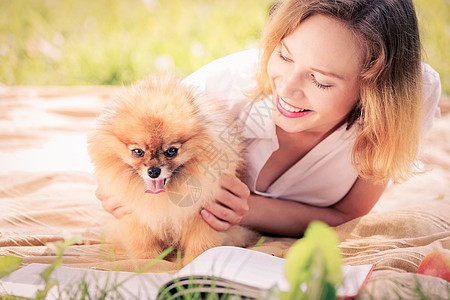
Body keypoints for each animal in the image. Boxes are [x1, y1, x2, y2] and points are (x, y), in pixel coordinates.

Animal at [88, 75, 256, 264]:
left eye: (171, 151)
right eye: (138, 152)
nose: (153, 171)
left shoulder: (205, 216)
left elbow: (201, 243)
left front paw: (194, 261)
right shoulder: (137, 217)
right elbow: (143, 243)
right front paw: (146, 261)